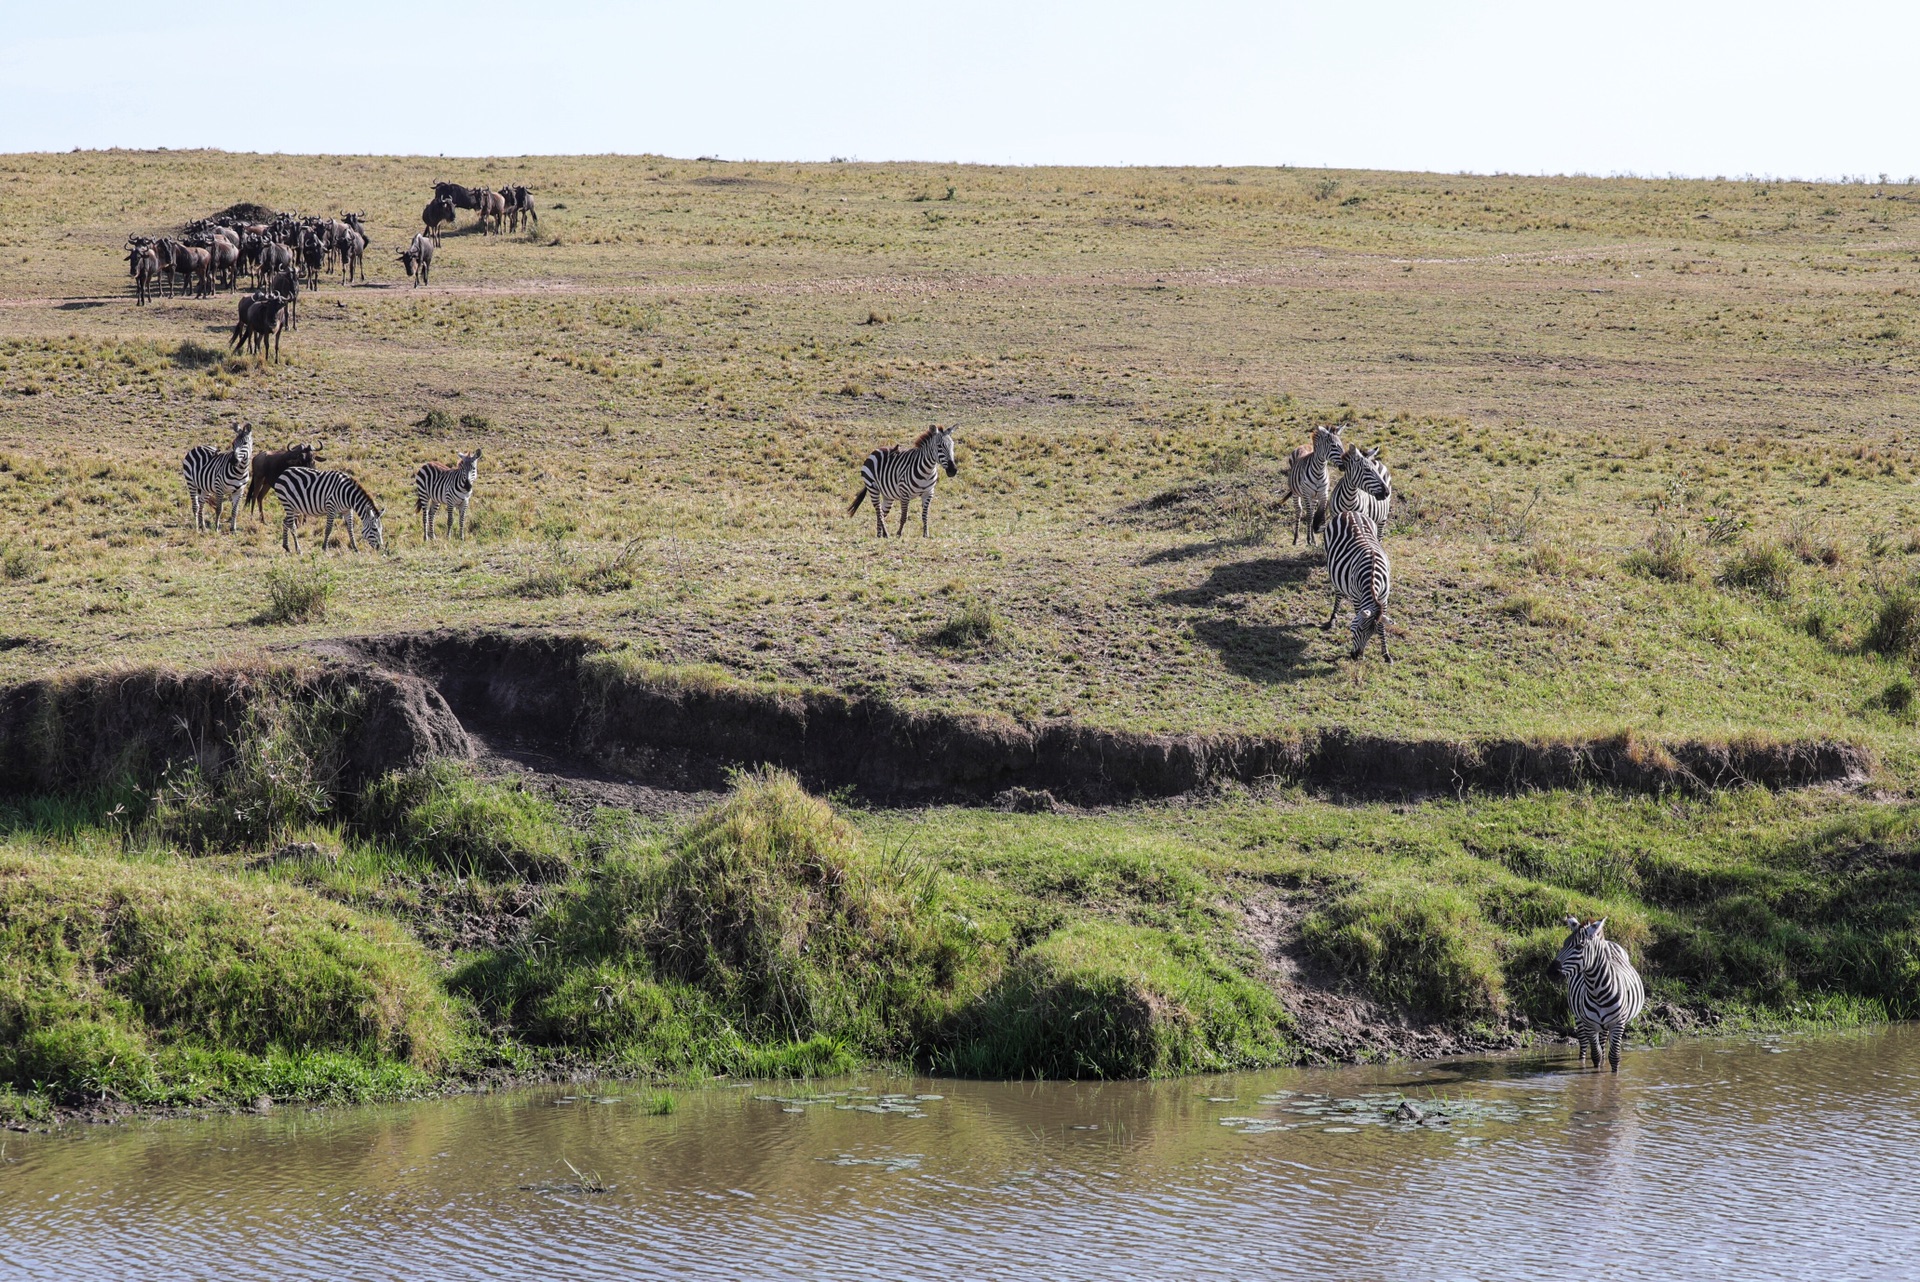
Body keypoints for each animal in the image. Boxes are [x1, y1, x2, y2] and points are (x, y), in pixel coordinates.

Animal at [1313, 443, 1390, 660]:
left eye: (1371, 634)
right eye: (1356, 629)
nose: (1356, 656)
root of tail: (1350, 513)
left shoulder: (1384, 599)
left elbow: (1382, 624)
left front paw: (1386, 654)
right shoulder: (1358, 598)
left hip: (1381, 520)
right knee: (1339, 593)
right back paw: (1332, 619)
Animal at [1543, 909, 1651, 1074]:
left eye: (1579, 947)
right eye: (1564, 944)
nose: (1551, 972)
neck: (1598, 992)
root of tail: (1608, 942)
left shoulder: (1618, 1024)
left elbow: (1614, 1056)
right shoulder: (1589, 1025)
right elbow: (1596, 1055)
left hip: (1607, 1025)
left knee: (1603, 1042)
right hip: (1578, 1018)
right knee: (1583, 1044)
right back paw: (1581, 1061)